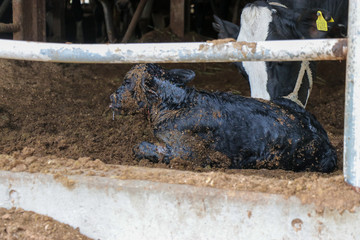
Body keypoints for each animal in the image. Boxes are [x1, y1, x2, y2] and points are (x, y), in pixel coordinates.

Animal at [109, 63, 338, 172]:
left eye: (127, 81)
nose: (111, 98)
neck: (177, 103)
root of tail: (327, 143)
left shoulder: (188, 153)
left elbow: (141, 147)